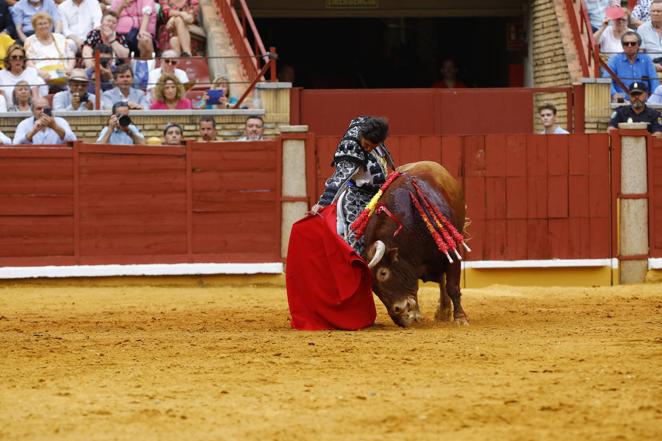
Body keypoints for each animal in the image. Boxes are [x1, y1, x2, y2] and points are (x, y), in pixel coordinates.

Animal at [364, 160, 472, 324]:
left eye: (383, 273)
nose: (397, 314)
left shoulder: (451, 252)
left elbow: (452, 286)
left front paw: (460, 318)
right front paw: (414, 314)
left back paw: (444, 312)